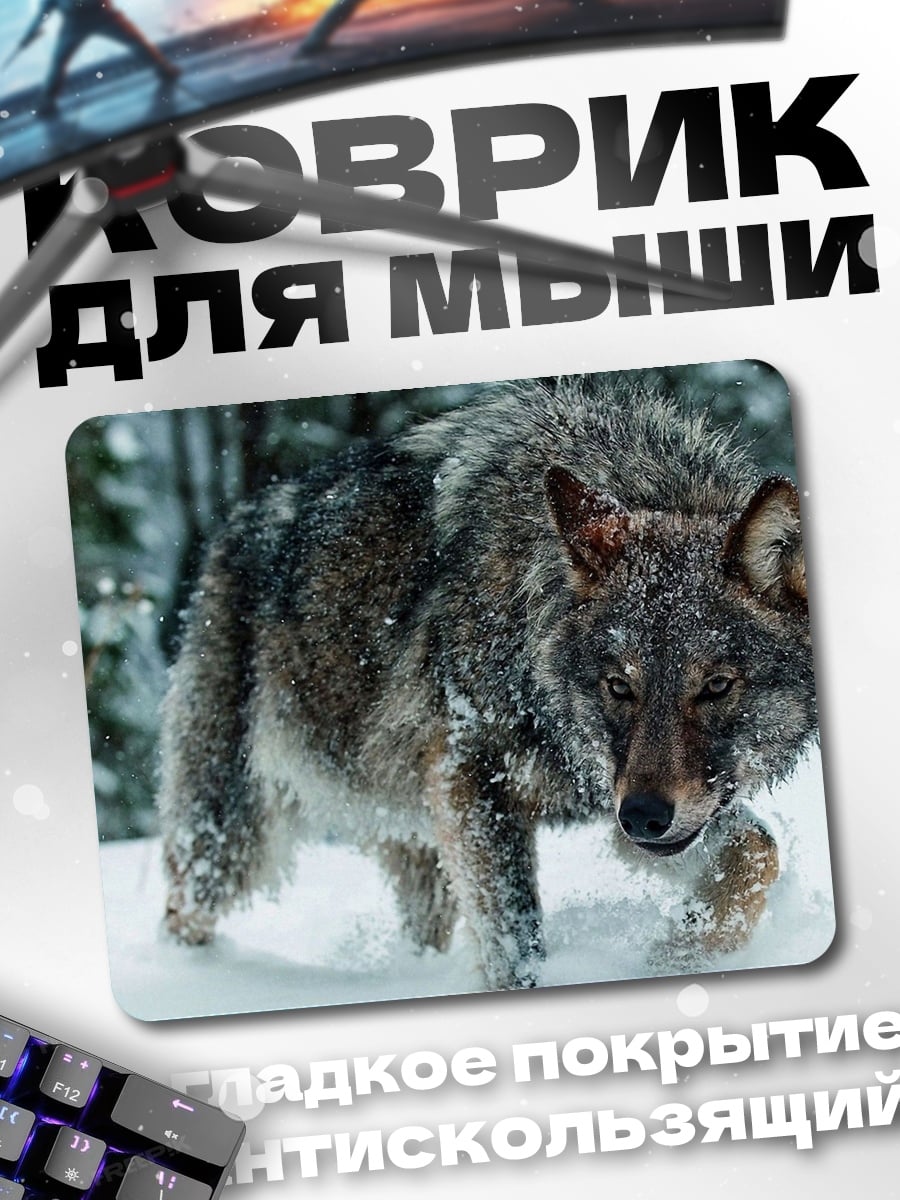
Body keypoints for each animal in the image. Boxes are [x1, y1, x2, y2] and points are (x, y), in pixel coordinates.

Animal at [159, 375, 817, 990]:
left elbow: (757, 850)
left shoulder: (616, 797)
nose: (644, 817)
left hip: (419, 849)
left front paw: (682, 953)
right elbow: (516, 945)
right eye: (618, 686)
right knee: (181, 909)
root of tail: (230, 527)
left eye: (716, 686)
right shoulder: (473, 776)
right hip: (230, 834)